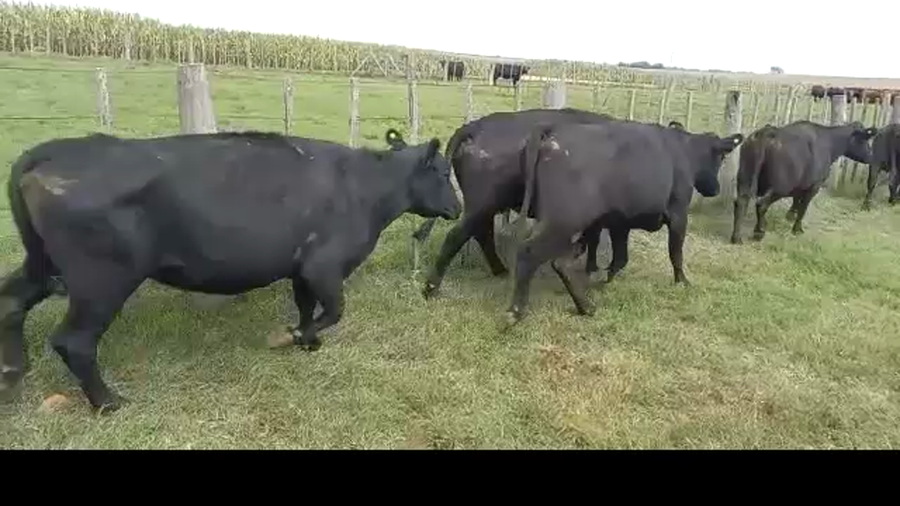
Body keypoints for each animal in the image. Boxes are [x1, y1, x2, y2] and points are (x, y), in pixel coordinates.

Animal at [0, 128, 461, 414]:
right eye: (443, 171)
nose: (457, 208)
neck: (366, 189)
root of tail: (53, 151)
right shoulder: (324, 265)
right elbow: (333, 310)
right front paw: (292, 338)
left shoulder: (302, 268)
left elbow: (308, 307)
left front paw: (306, 341)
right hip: (102, 279)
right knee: (74, 341)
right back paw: (109, 403)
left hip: (44, 263)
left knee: (11, 302)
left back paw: (12, 373)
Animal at [504, 121, 744, 323]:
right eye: (721, 158)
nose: (715, 189)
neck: (683, 151)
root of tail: (551, 132)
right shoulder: (678, 215)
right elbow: (675, 252)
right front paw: (682, 282)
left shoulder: (620, 223)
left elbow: (621, 257)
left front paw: (606, 278)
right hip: (563, 222)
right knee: (530, 253)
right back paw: (515, 312)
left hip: (574, 224)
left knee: (561, 261)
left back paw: (586, 307)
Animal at [730, 120, 877, 244]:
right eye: (865, 140)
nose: (871, 156)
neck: (829, 143)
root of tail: (766, 133)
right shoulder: (814, 186)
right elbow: (803, 208)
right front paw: (797, 228)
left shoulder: (800, 186)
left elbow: (796, 201)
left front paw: (790, 215)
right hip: (780, 187)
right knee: (761, 204)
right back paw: (759, 232)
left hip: (745, 178)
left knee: (741, 202)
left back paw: (736, 237)